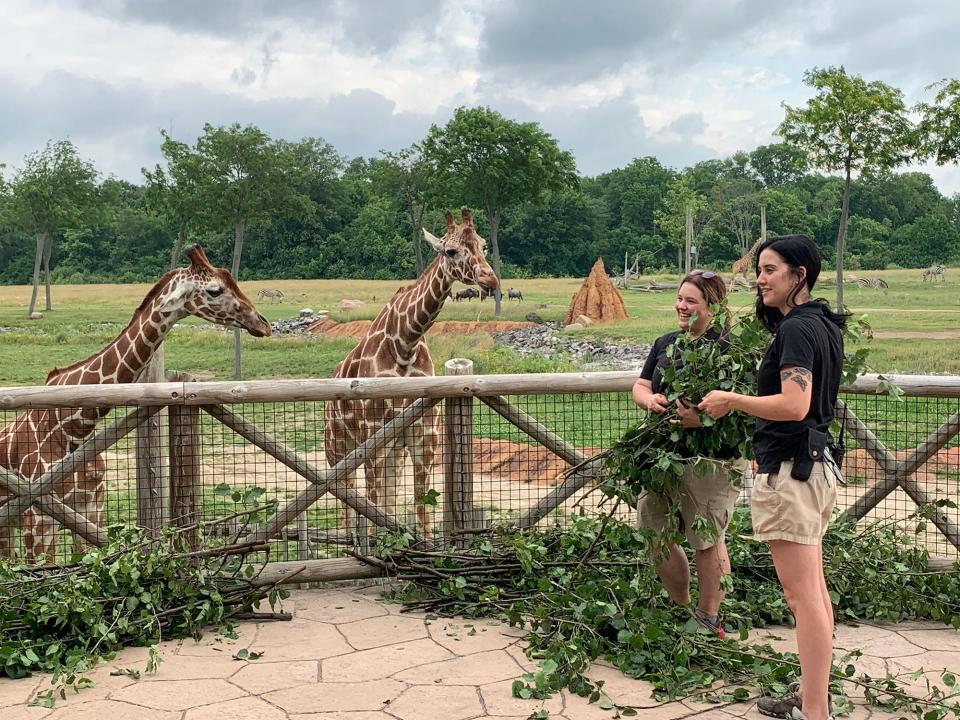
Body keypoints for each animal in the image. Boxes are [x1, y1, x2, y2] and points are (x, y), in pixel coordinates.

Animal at [326, 211, 498, 536]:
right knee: (346, 502)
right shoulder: (372, 435)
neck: (405, 344)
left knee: (385, 498)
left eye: (483, 244)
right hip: (337, 445)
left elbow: (421, 508)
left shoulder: (423, 436)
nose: (490, 280)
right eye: (450, 251)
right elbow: (372, 507)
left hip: (394, 450)